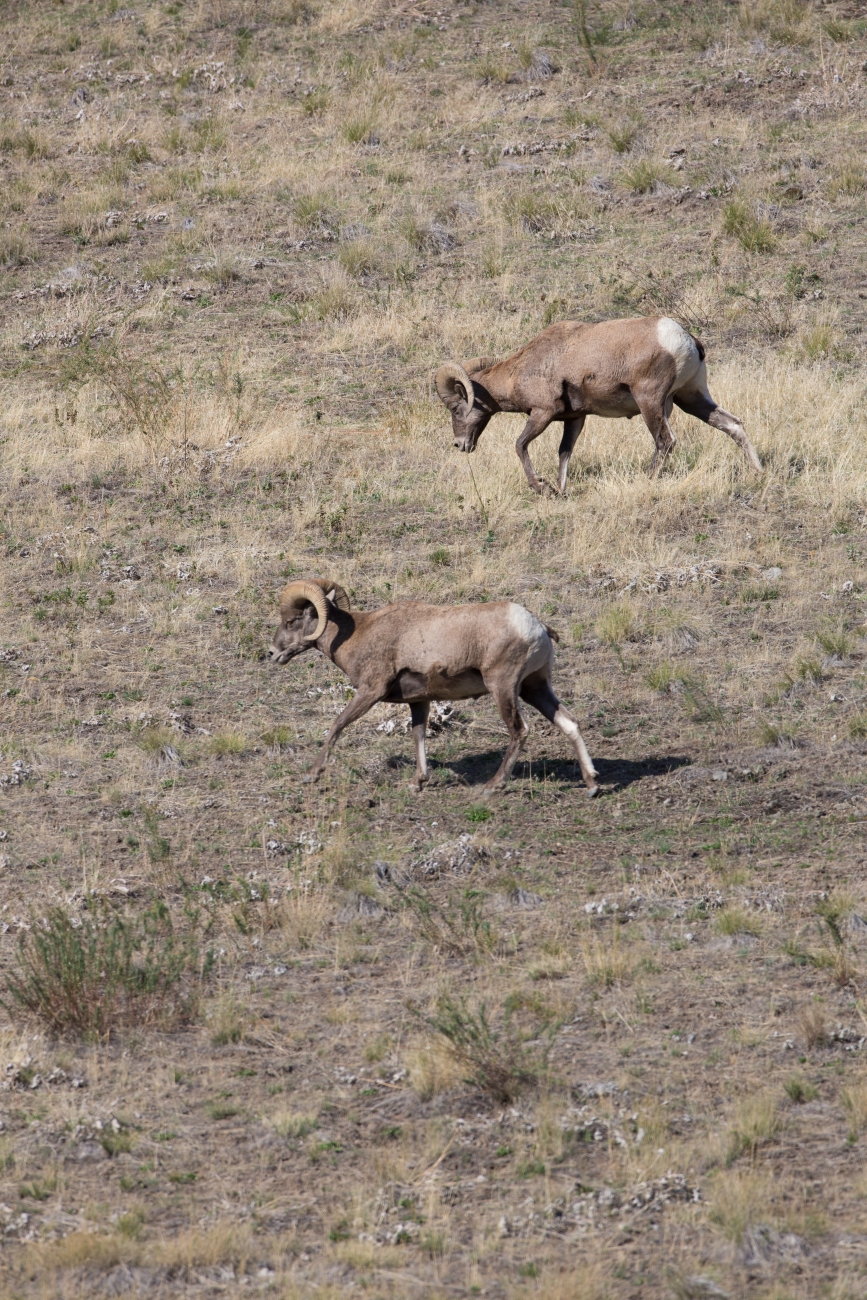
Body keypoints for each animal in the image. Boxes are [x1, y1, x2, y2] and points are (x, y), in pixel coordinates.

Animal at [269, 578, 598, 795]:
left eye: (292, 621)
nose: (272, 654)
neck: (358, 635)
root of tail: (537, 627)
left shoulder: (370, 692)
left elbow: (337, 725)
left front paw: (312, 775)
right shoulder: (419, 701)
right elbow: (419, 736)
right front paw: (418, 782)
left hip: (504, 687)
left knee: (519, 730)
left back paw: (491, 787)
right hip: (535, 688)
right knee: (569, 723)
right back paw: (592, 784)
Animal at [435, 315, 762, 495]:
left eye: (455, 409)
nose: (459, 445)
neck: (523, 370)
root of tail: (685, 338)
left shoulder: (542, 414)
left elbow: (520, 445)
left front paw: (542, 487)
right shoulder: (575, 419)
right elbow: (564, 453)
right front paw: (561, 491)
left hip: (651, 402)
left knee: (665, 441)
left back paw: (647, 481)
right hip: (691, 398)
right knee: (732, 425)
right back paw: (757, 470)